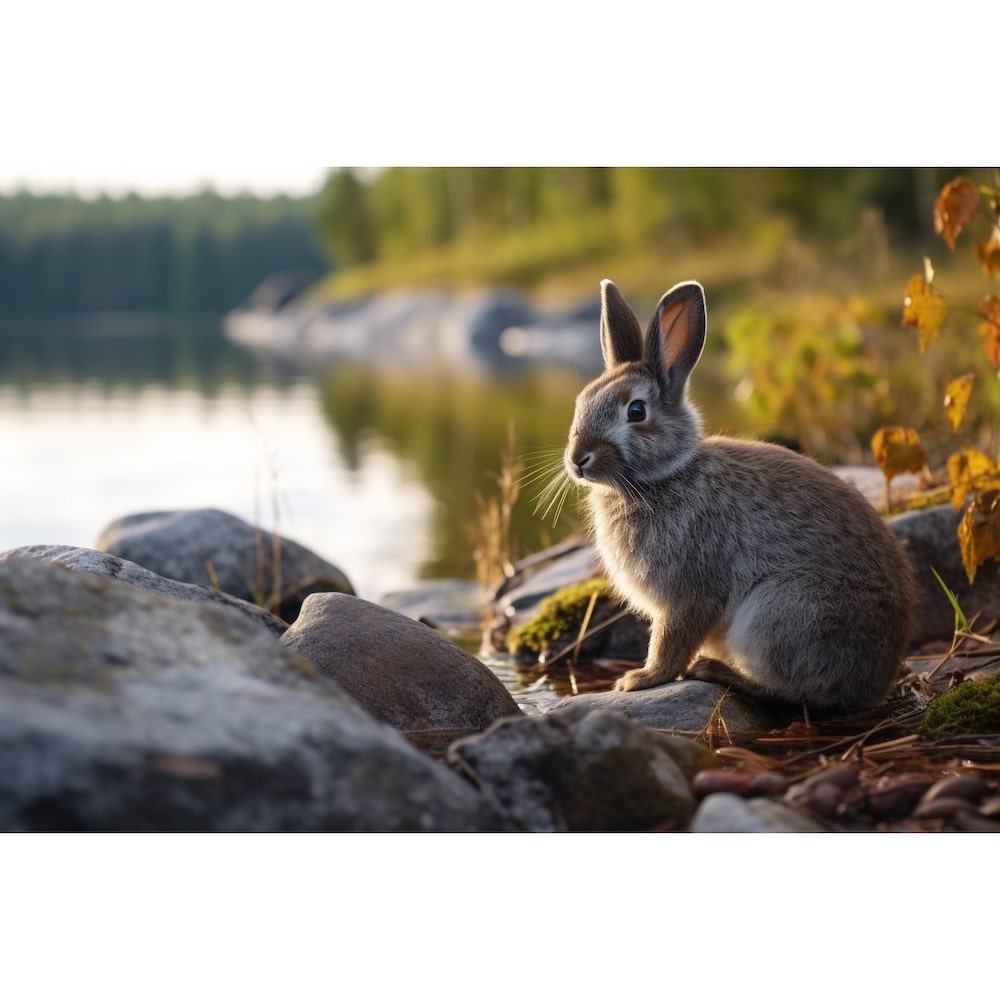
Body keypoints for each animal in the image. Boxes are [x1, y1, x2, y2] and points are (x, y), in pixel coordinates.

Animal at [562, 278, 915, 713]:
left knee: (795, 690)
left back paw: (717, 671)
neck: (663, 477)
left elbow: (670, 642)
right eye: (582, 402)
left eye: (637, 412)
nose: (578, 459)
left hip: (781, 613)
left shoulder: (689, 594)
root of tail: (877, 682)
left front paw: (640, 679)